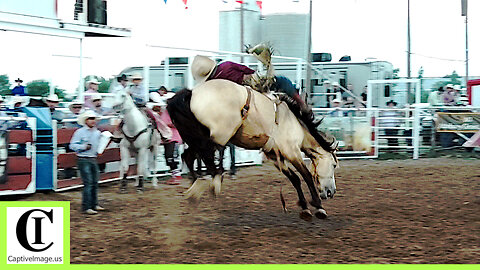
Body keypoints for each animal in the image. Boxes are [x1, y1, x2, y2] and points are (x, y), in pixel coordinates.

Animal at [169, 79, 338, 220]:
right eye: (334, 165)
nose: (332, 192)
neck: (294, 123)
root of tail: (191, 93)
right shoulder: (291, 151)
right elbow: (306, 175)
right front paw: (318, 206)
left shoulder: (274, 155)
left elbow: (295, 179)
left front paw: (304, 207)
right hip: (215, 136)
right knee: (207, 156)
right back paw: (213, 183)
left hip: (196, 137)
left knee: (188, 156)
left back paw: (195, 189)